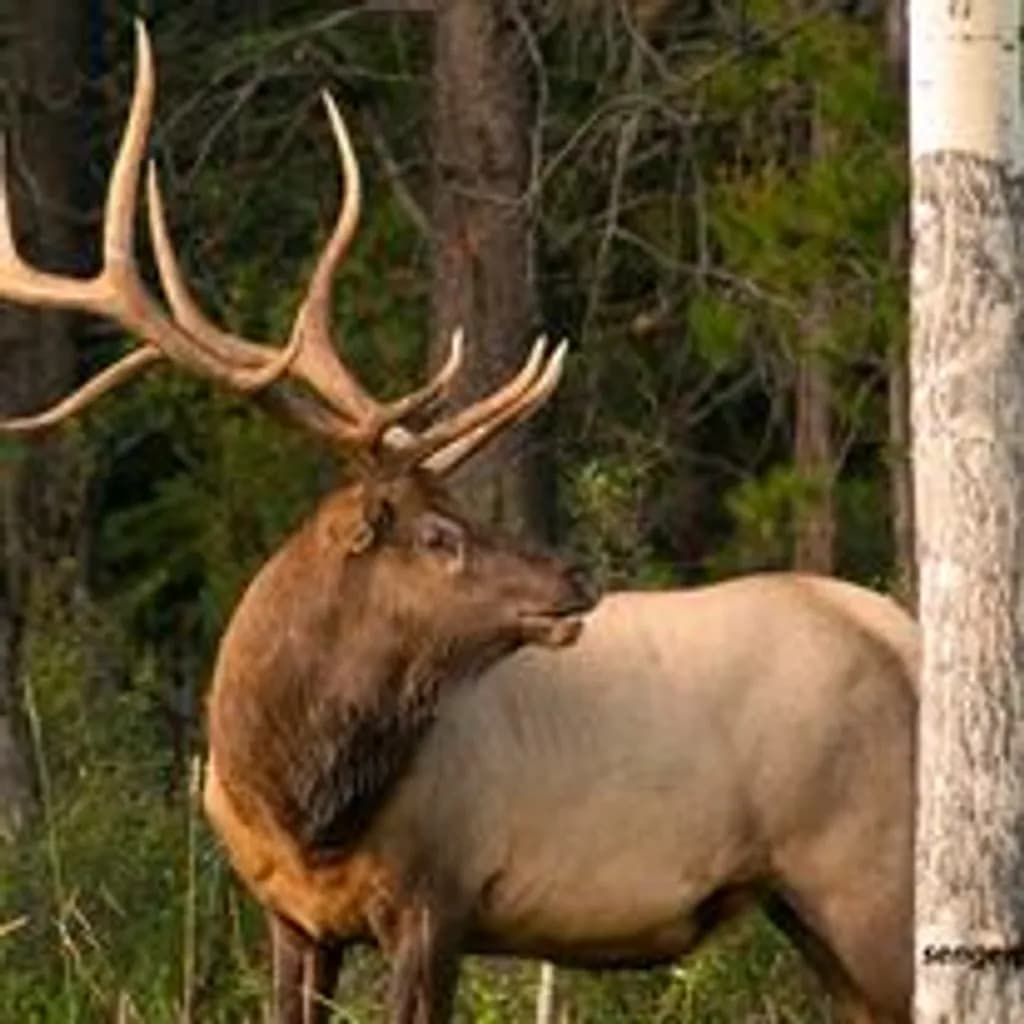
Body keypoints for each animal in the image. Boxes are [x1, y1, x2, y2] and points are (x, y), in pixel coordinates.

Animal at [0, 23, 916, 1024]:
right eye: (440, 535)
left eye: (463, 513)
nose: (575, 580)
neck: (297, 797)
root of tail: (907, 638)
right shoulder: (291, 916)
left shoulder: (439, 895)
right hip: (816, 913)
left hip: (867, 874)